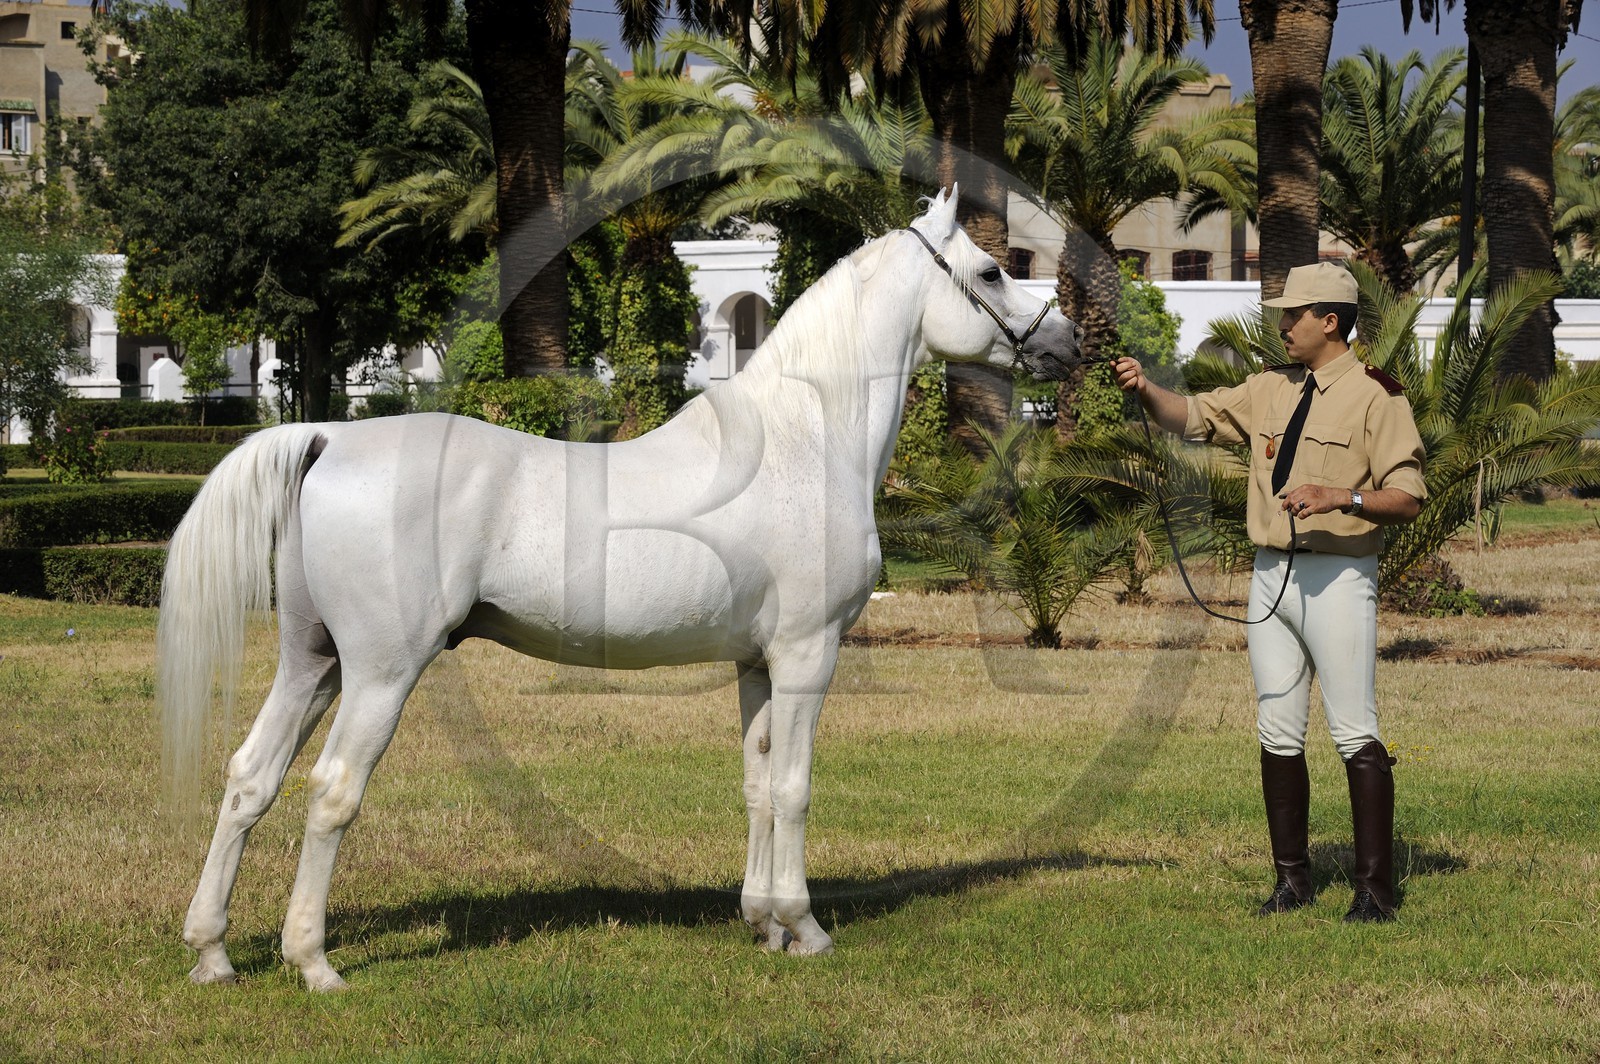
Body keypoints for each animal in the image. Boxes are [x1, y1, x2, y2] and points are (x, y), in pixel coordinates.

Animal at [159, 187, 1083, 991]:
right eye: (991, 272)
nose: (1066, 345)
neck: (803, 438)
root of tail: (329, 438)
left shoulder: (757, 663)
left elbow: (756, 783)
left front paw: (762, 923)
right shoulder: (807, 654)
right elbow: (793, 788)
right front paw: (806, 927)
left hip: (312, 662)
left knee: (250, 779)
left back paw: (213, 952)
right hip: (382, 672)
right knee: (332, 791)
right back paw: (314, 962)